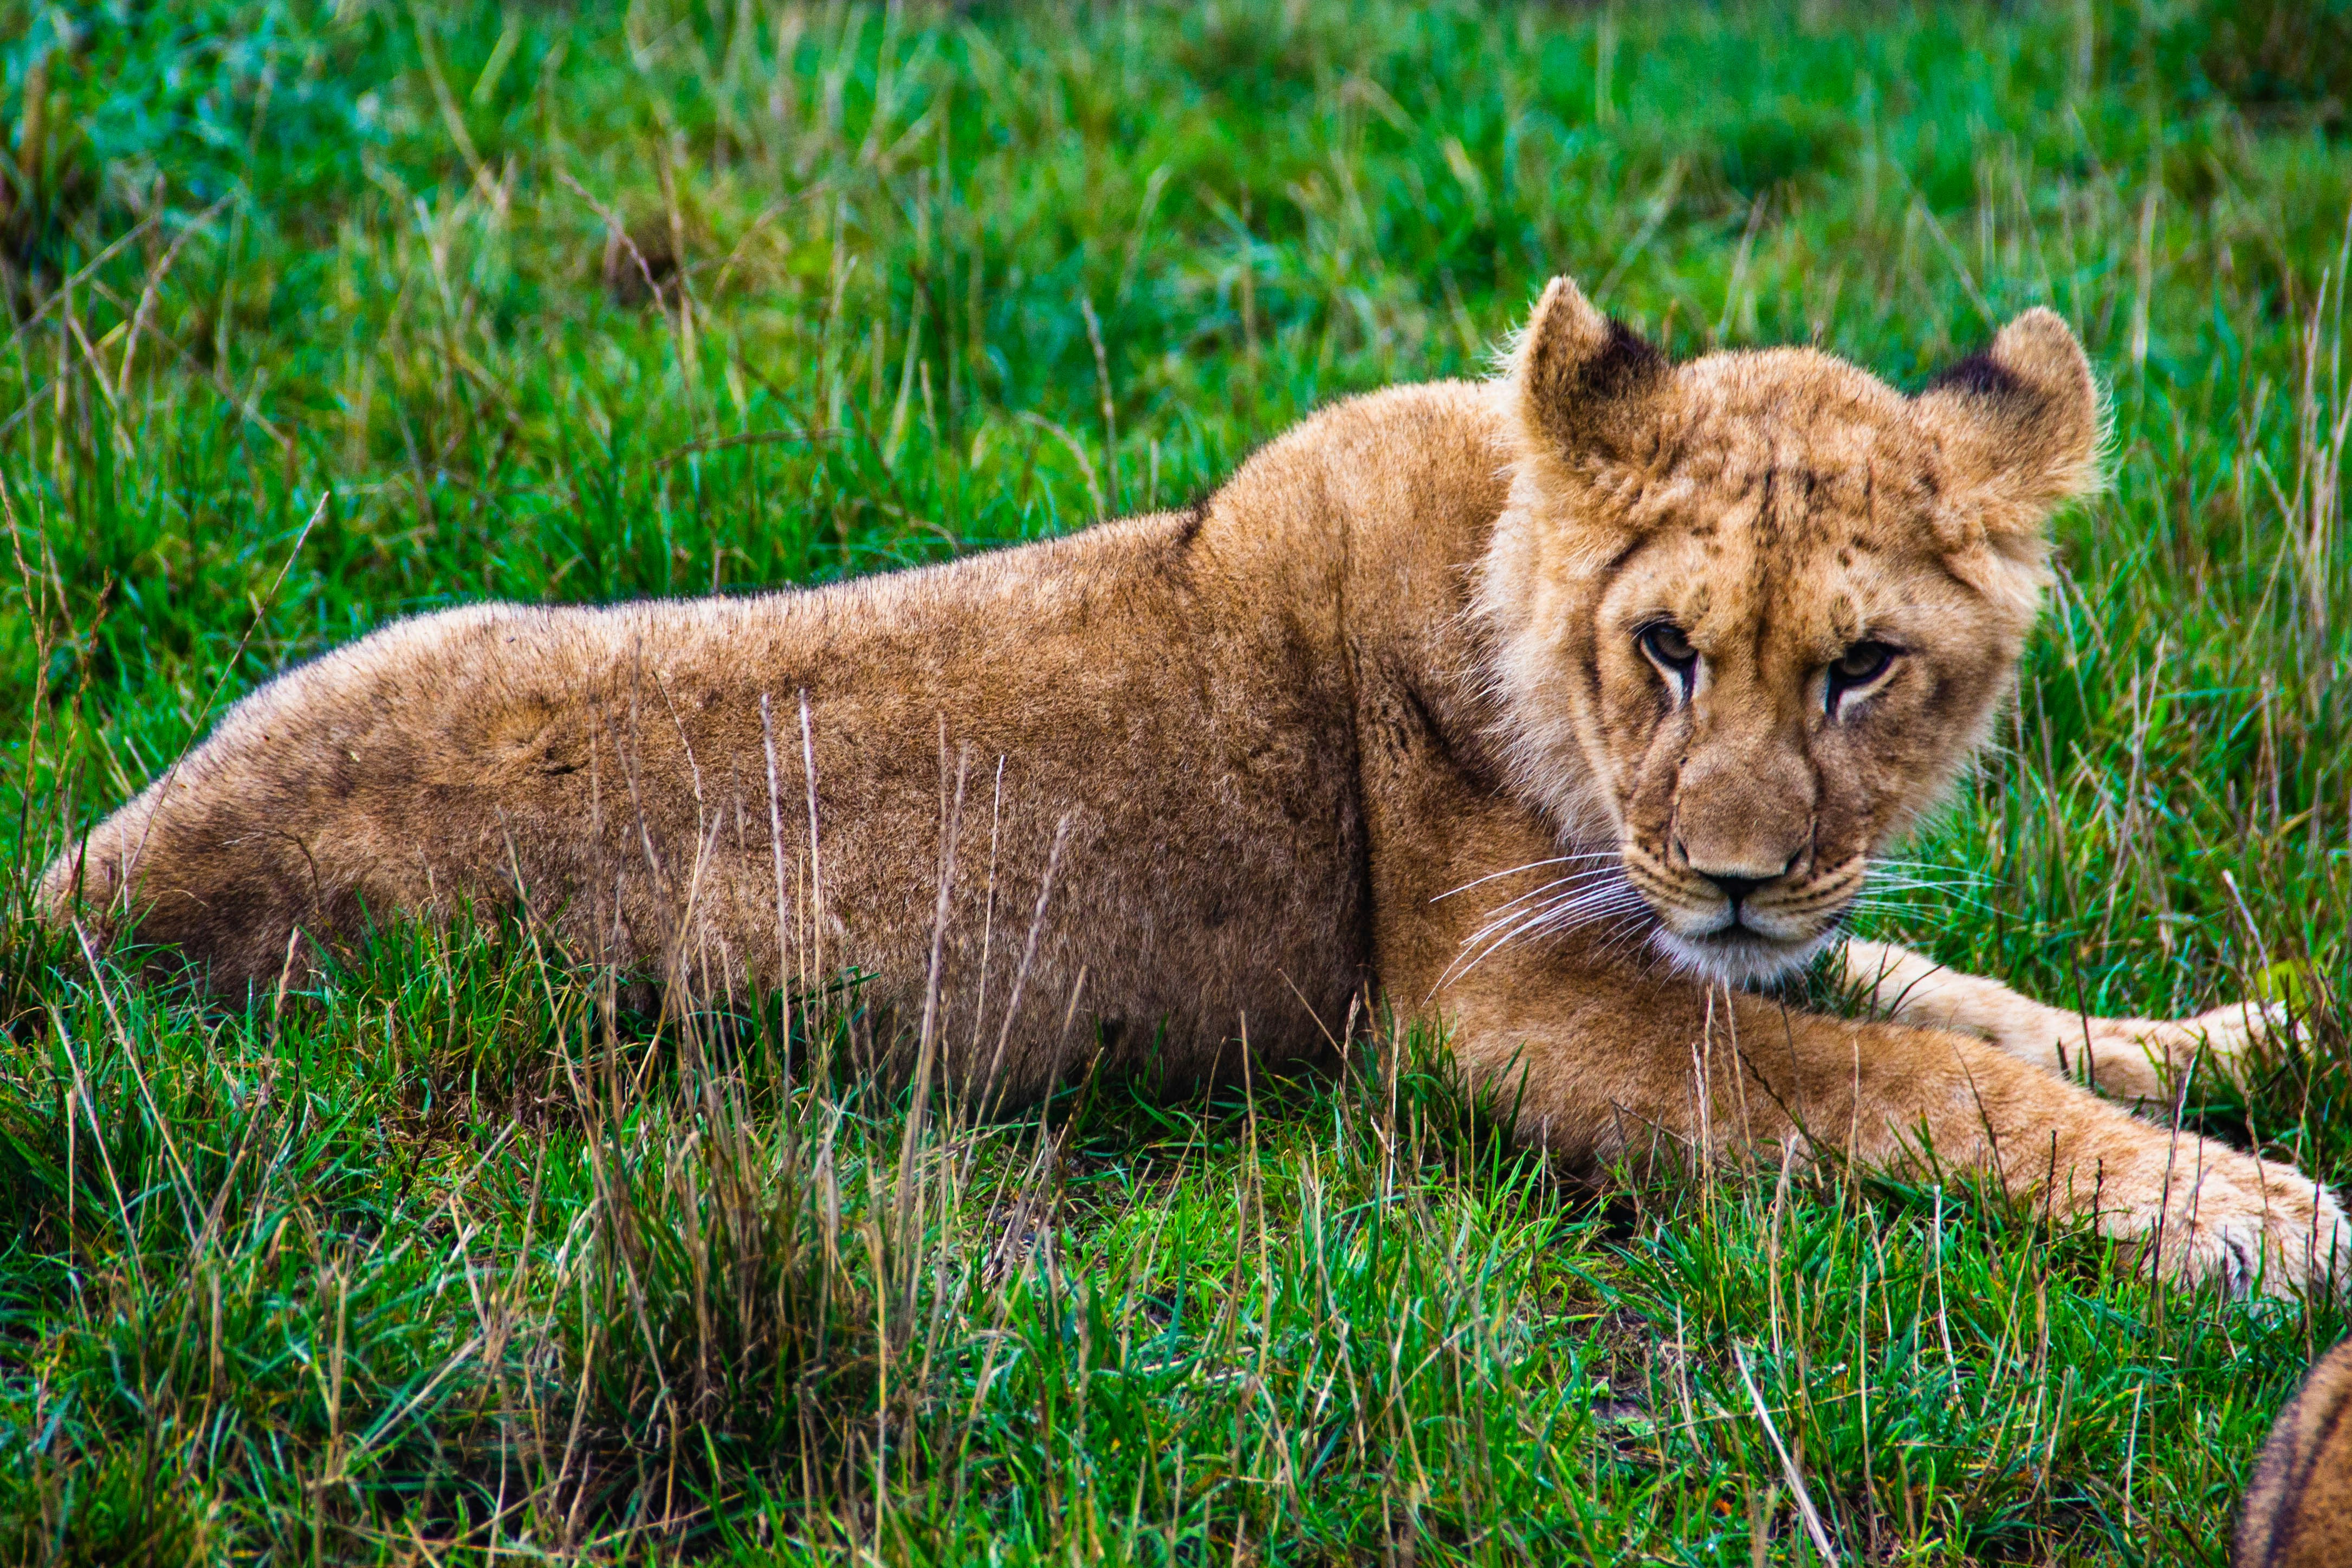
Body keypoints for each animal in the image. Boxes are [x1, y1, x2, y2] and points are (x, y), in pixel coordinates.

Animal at [37, 274, 2346, 1294]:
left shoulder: (1689, 940)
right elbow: (1904, 1076)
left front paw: (2251, 1037)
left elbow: (1973, 1009)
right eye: (1669, 648)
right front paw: (2244, 1215)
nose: (1735, 875)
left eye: (1863, 667)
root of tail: (88, 877)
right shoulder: (1500, 1016)